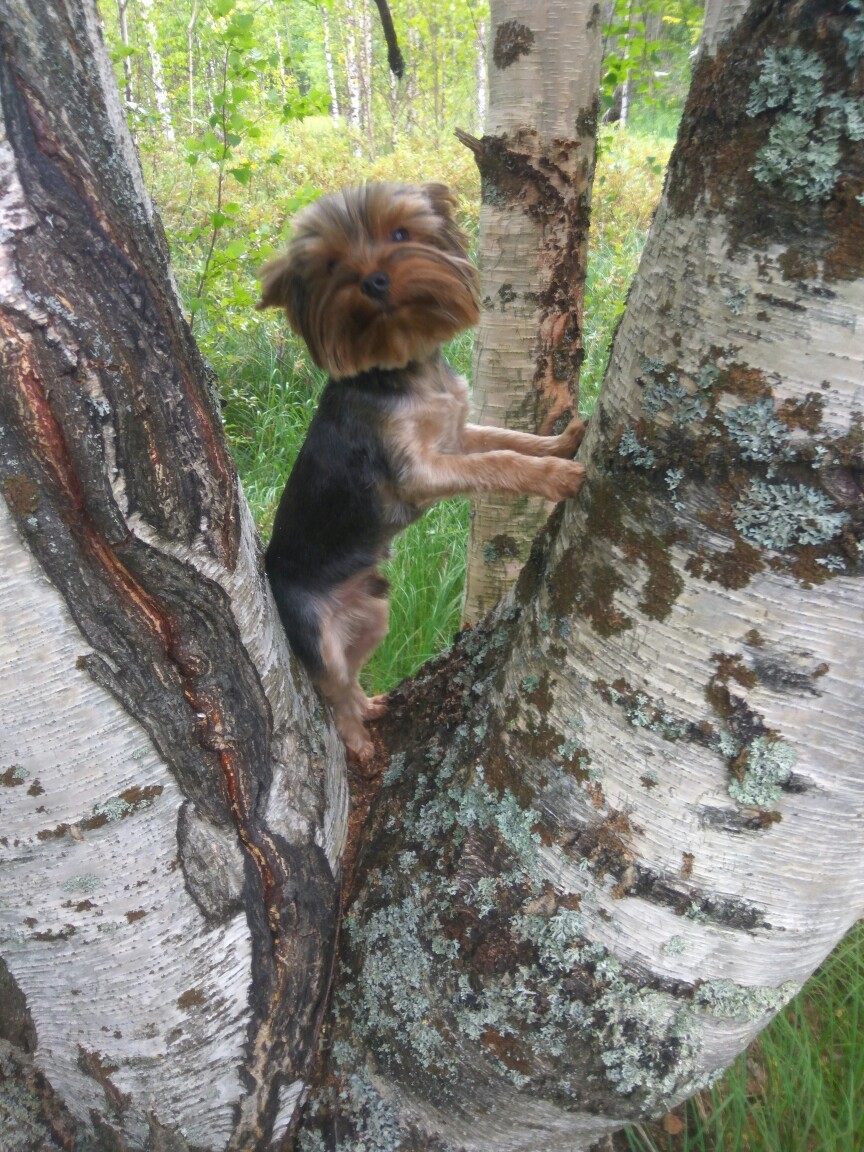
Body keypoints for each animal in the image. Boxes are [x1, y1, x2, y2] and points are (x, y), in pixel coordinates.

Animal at [253, 184, 585, 764]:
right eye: (332, 265)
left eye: (400, 234)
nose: (373, 279)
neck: (408, 368)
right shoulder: (417, 470)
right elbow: (498, 462)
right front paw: (557, 476)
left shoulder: (457, 432)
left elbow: (508, 439)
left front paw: (562, 443)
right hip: (312, 628)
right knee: (333, 686)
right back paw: (359, 742)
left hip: (372, 612)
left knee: (352, 677)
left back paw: (371, 706)